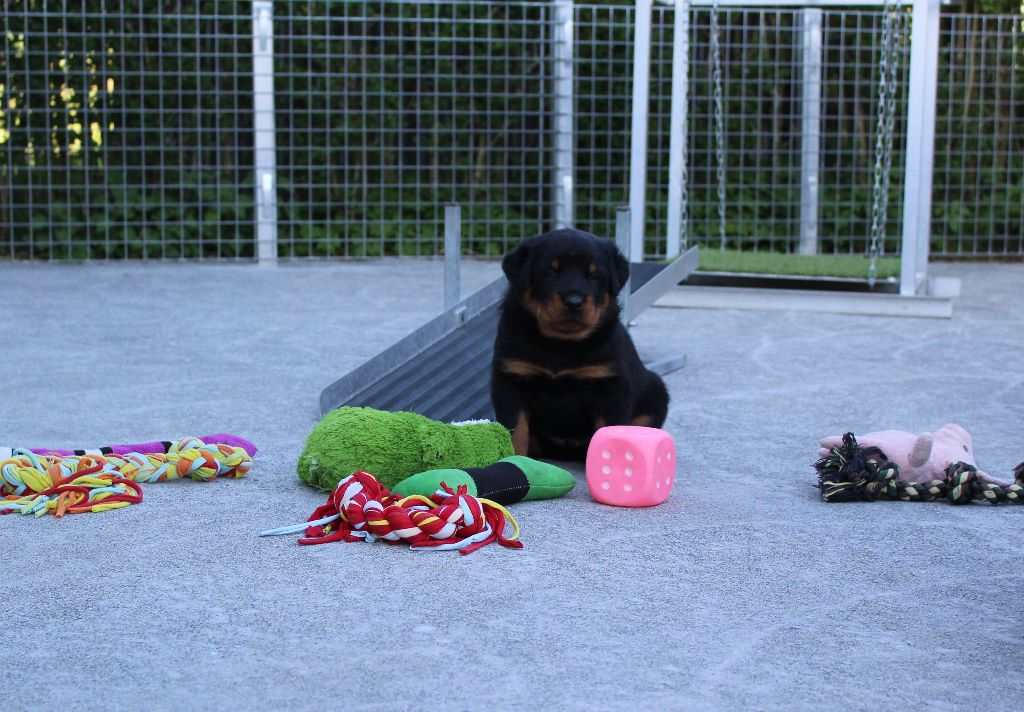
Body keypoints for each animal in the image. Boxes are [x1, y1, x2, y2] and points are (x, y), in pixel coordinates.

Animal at [490, 228, 669, 459]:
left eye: (595, 276)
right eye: (550, 271)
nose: (574, 302)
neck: (561, 344)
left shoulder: (610, 386)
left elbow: (610, 429)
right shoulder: (511, 380)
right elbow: (516, 432)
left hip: (655, 392)